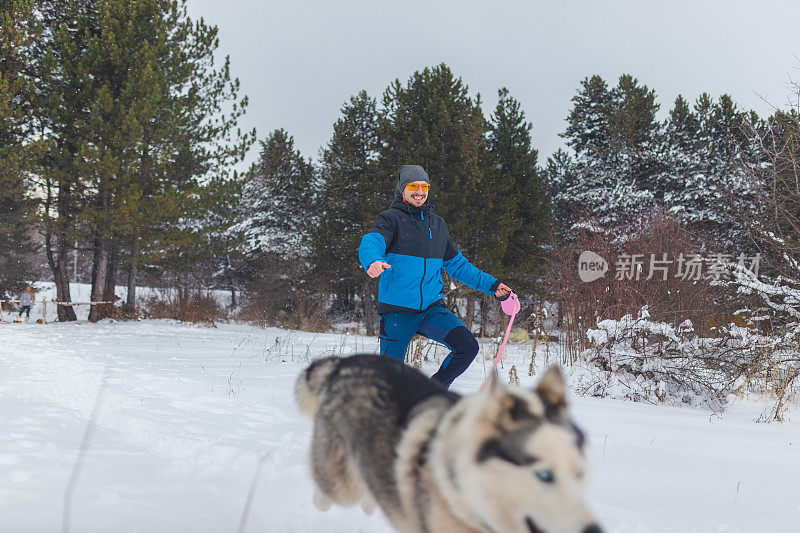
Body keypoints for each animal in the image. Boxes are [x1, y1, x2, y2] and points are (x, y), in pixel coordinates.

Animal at [294, 354, 600, 532]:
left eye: (580, 474)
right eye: (544, 475)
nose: (594, 531)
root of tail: (346, 361)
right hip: (340, 484)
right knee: (327, 486)